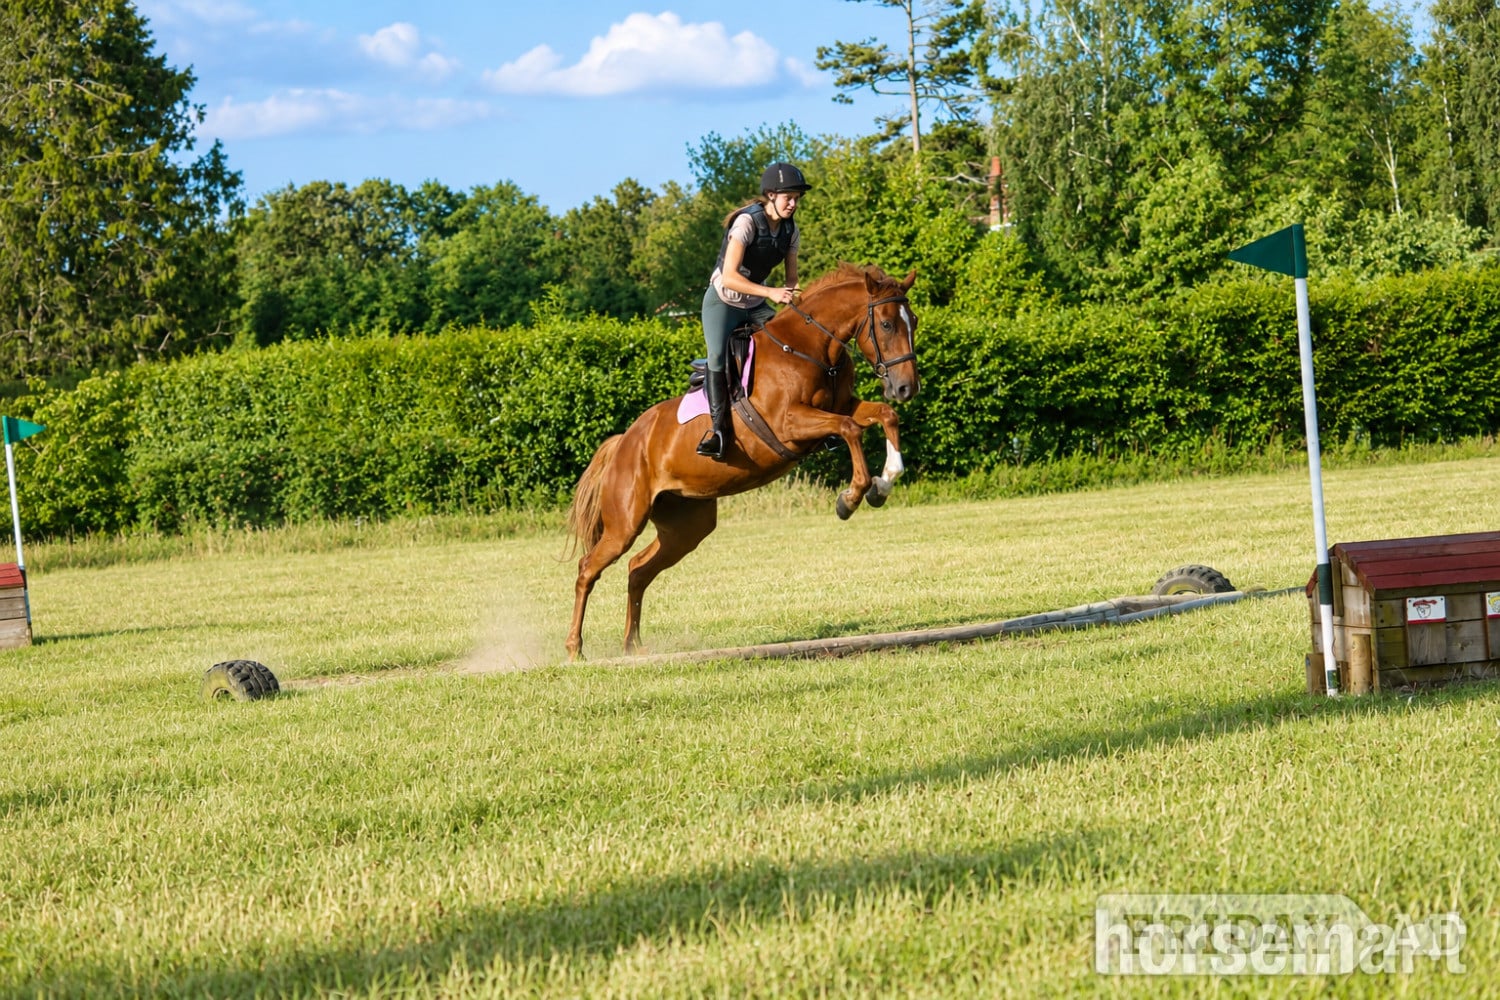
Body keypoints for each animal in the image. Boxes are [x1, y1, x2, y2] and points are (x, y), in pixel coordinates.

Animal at [564, 262, 920, 660]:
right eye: (886, 324)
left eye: (915, 321)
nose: (907, 387)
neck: (810, 348)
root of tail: (624, 442)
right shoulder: (790, 423)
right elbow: (850, 429)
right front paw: (851, 497)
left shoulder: (841, 406)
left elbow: (885, 415)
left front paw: (883, 484)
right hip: (625, 522)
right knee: (588, 568)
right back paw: (575, 648)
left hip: (686, 525)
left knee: (639, 569)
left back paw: (633, 646)